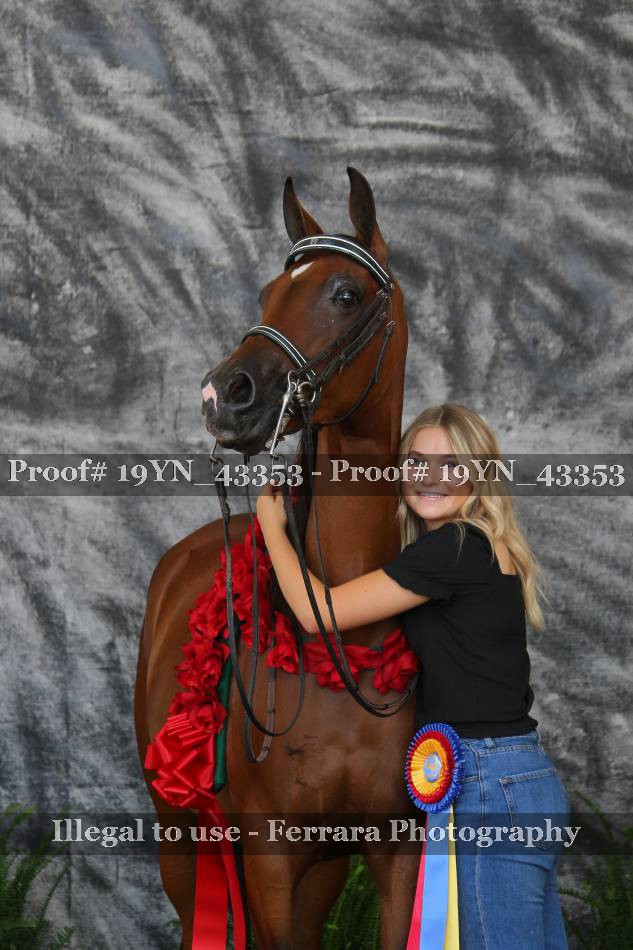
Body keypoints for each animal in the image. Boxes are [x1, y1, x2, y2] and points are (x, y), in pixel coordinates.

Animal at [135, 167, 420, 949]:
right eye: (267, 293)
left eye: (345, 294)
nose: (224, 394)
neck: (343, 632)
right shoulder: (270, 857)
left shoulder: (395, 851)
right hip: (184, 842)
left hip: (319, 868)